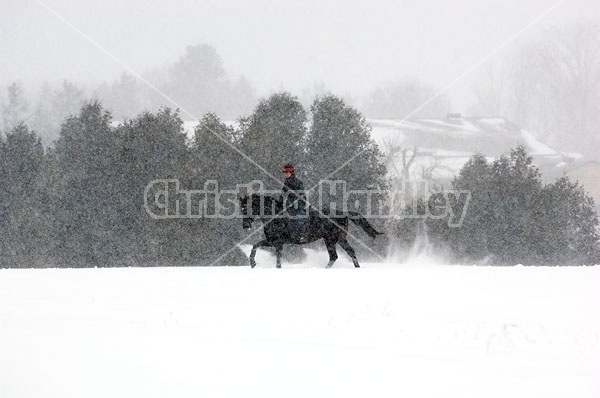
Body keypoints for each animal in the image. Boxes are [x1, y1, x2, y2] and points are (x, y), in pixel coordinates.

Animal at [238, 194, 380, 268]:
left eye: (245, 209)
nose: (245, 225)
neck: (274, 216)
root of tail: (343, 213)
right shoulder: (274, 242)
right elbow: (258, 247)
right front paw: (253, 263)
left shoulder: (276, 242)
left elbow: (263, 251)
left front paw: (253, 263)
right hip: (339, 239)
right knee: (347, 253)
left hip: (330, 239)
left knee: (335, 256)